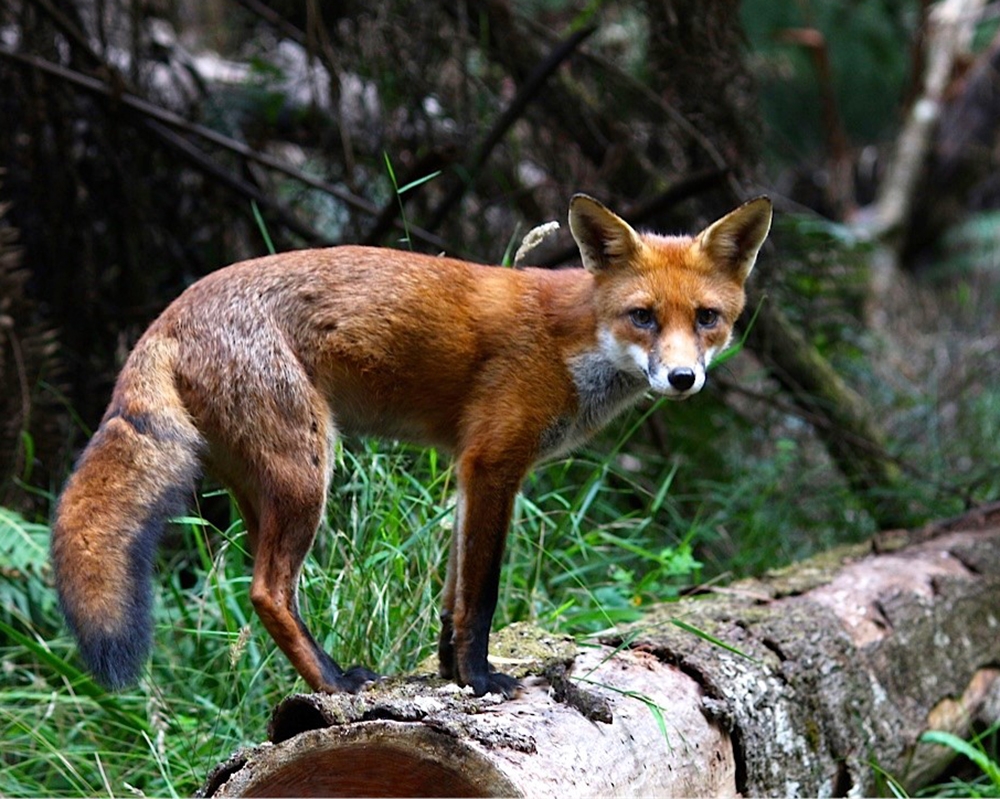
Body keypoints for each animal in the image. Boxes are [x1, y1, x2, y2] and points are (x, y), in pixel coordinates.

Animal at [51, 194, 771, 698]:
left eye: (707, 318)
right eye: (643, 316)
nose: (682, 379)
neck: (572, 341)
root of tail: (166, 318)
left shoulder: (467, 471)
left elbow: (452, 595)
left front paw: (451, 671)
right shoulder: (493, 462)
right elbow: (481, 591)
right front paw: (481, 681)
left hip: (265, 485)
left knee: (264, 589)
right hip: (308, 472)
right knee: (265, 591)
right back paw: (334, 683)